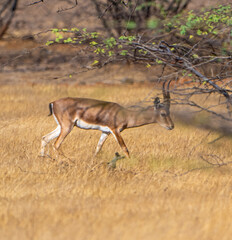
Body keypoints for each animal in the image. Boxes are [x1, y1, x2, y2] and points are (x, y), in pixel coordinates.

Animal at [40, 81, 174, 158]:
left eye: (169, 112)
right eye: (163, 113)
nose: (171, 126)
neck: (125, 114)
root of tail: (53, 102)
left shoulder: (105, 132)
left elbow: (98, 148)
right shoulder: (115, 130)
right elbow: (125, 148)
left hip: (61, 126)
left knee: (45, 138)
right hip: (67, 127)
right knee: (56, 144)